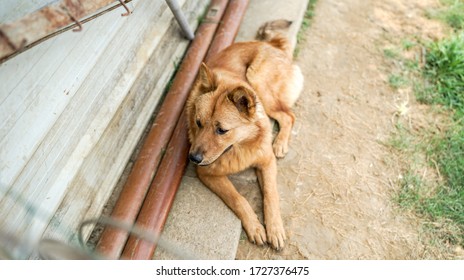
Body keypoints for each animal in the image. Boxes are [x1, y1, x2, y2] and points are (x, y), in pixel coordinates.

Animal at [187, 21, 302, 249]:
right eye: (198, 122)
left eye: (222, 130)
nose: (193, 158)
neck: (239, 147)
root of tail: (271, 44)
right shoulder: (207, 174)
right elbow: (237, 198)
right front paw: (255, 226)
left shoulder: (266, 162)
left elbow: (271, 194)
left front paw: (274, 227)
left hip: (257, 80)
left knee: (288, 116)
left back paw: (280, 143)